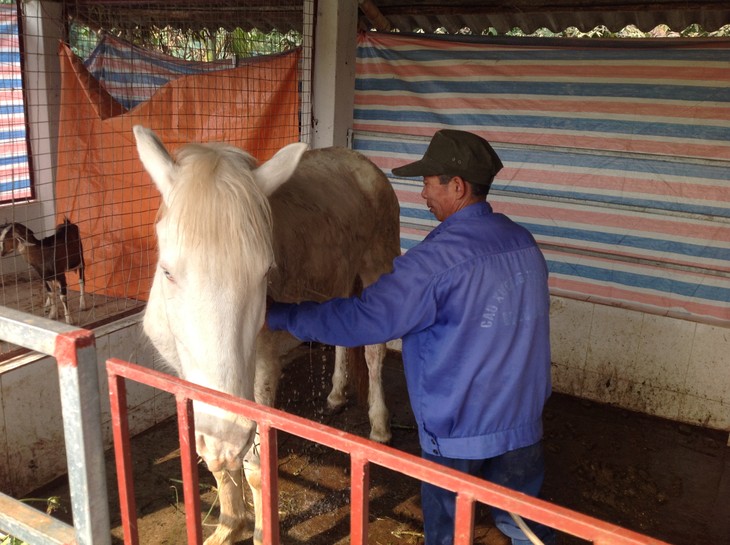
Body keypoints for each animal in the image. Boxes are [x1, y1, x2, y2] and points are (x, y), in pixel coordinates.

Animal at [134, 126, 400, 544]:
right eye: (167, 272)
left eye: (264, 273)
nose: (227, 433)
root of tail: (360, 161)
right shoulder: (188, 378)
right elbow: (220, 462)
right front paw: (229, 526)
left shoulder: (262, 373)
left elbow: (256, 467)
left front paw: (258, 530)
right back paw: (336, 395)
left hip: (377, 265)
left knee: (374, 352)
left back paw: (379, 426)